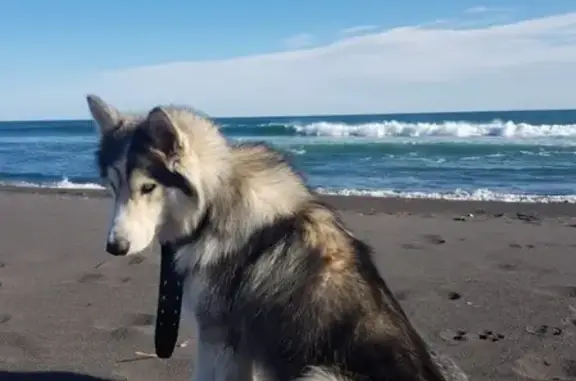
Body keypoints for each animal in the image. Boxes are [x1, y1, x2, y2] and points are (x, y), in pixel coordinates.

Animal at [86, 94, 468, 380]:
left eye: (148, 187)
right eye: (113, 185)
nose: (114, 247)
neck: (214, 207)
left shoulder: (220, 338)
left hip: (318, 374)